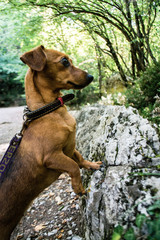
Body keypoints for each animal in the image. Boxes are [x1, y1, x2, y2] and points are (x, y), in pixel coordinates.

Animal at [0, 45, 101, 240]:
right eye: (64, 61)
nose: (91, 76)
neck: (49, 111)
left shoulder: (70, 148)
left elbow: (80, 159)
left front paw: (92, 165)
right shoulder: (52, 156)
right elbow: (73, 166)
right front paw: (78, 187)